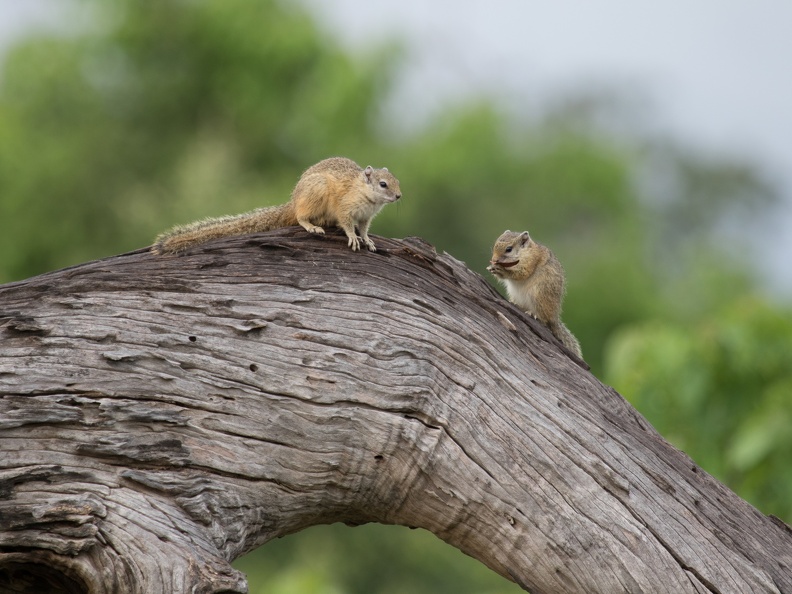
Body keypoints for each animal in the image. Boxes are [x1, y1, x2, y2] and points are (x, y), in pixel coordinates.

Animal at [152, 157, 402, 254]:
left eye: (397, 180)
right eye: (383, 184)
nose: (399, 196)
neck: (366, 194)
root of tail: (292, 202)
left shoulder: (366, 217)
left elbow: (365, 229)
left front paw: (368, 240)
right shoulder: (345, 209)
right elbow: (348, 225)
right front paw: (353, 238)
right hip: (315, 194)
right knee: (301, 217)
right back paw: (311, 226)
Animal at [487, 230, 583, 359]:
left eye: (508, 249)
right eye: (494, 246)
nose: (494, 259)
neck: (523, 253)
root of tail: (554, 316)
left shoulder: (531, 260)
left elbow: (522, 273)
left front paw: (502, 270)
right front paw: (492, 268)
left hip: (539, 294)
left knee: (544, 318)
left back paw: (534, 314)